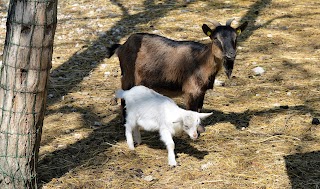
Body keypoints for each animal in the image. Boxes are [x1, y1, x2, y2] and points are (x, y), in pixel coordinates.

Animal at [107, 19, 248, 119]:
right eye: (215, 38)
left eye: (235, 38)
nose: (231, 54)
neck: (202, 60)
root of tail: (121, 47)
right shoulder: (191, 91)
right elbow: (192, 112)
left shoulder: (201, 91)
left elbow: (199, 110)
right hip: (127, 77)